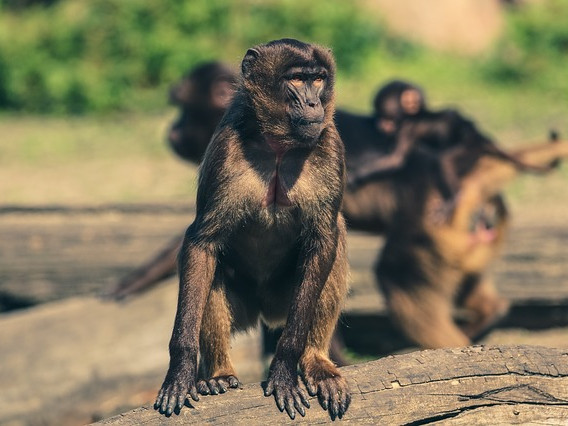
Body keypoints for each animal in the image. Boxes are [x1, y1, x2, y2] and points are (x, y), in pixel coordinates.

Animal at [155, 39, 350, 420]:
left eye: (318, 79)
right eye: (297, 79)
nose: (314, 103)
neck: (278, 145)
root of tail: (265, 311)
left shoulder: (331, 145)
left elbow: (324, 240)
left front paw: (285, 367)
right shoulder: (225, 148)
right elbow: (201, 244)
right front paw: (181, 371)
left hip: (284, 299)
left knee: (335, 240)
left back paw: (316, 361)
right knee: (210, 268)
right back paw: (219, 374)